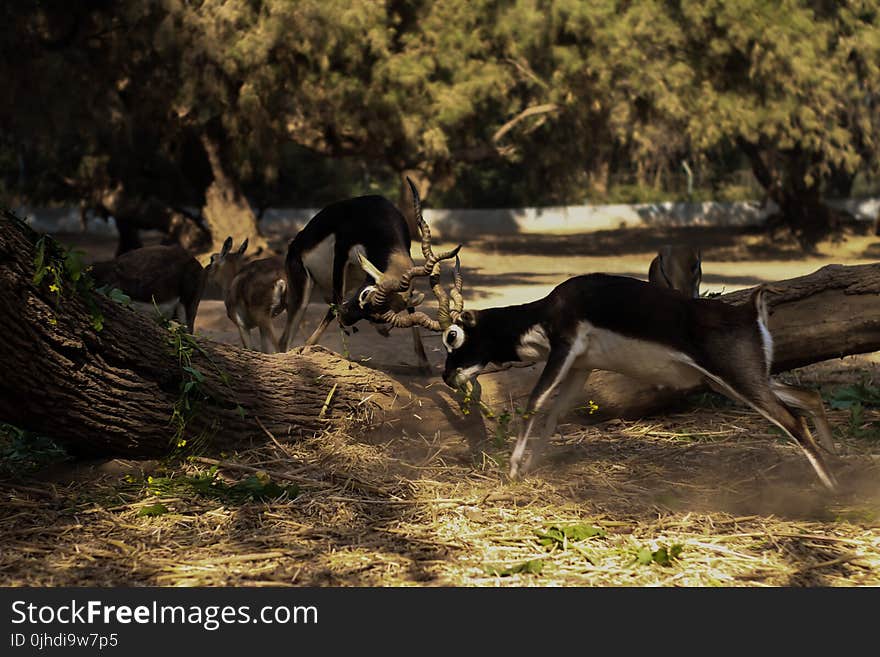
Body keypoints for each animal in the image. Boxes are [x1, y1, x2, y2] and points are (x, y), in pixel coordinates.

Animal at [280, 179, 460, 372]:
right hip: (302, 293)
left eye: (374, 316)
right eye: (365, 294)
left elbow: (411, 310)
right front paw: (307, 347)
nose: (344, 318)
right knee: (285, 338)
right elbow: (337, 301)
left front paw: (424, 362)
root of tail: (295, 244)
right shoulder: (341, 252)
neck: (378, 216)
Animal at [434, 270, 840, 490]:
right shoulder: (581, 366)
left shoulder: (564, 347)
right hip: (734, 382)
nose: (446, 376)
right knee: (809, 396)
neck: (546, 312)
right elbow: (553, 416)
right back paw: (836, 456)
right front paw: (531, 466)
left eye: (452, 336)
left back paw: (832, 489)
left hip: (739, 380)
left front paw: (514, 470)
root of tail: (750, 312)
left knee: (794, 420)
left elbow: (533, 405)